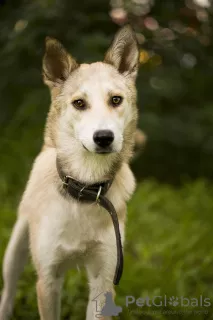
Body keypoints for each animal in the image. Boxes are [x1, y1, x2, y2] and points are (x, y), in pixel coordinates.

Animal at [0, 25, 140, 320]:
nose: (104, 137)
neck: (85, 188)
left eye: (116, 100)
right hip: (15, 248)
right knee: (8, 291)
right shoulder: (48, 279)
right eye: (79, 103)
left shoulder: (104, 277)